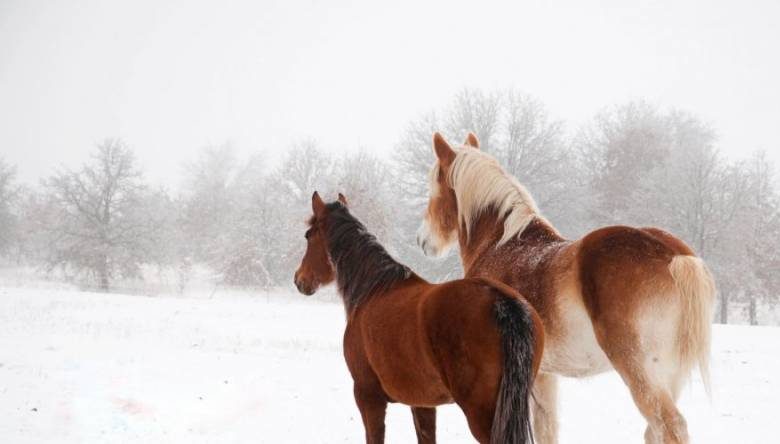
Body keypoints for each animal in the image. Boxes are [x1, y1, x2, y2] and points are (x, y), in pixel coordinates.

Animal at [296, 192, 544, 444]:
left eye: (308, 235)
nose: (299, 280)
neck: (373, 290)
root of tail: (502, 300)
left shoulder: (368, 396)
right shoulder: (422, 404)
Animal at [418, 133, 716, 444]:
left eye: (433, 188)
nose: (423, 241)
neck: (501, 245)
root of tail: (673, 255)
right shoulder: (544, 376)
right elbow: (547, 429)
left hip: (640, 370)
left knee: (669, 425)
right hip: (670, 376)